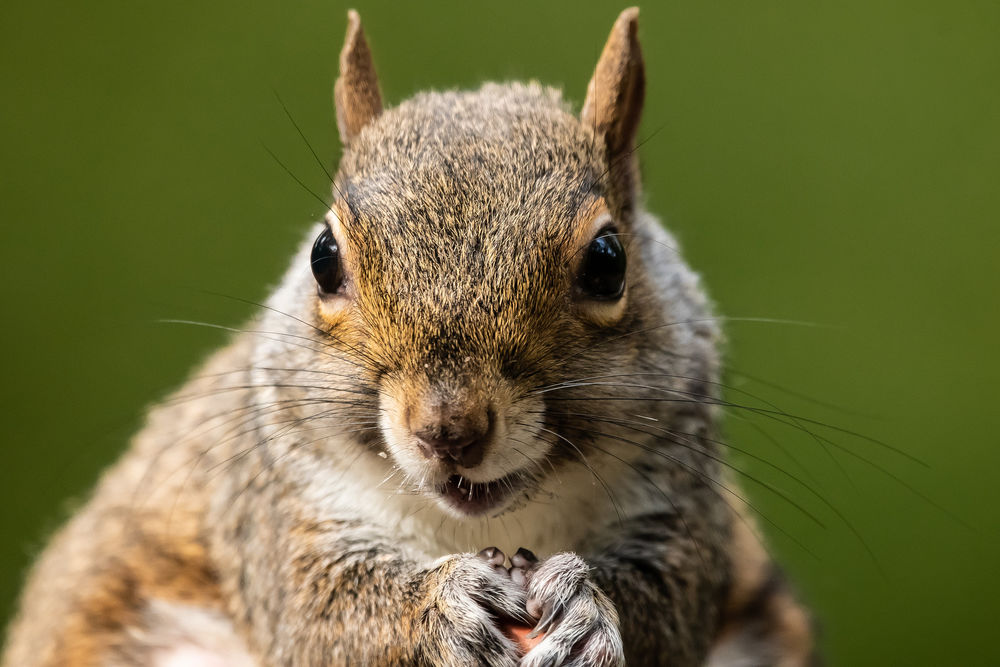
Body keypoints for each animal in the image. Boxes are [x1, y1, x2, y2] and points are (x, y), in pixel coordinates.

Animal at [3, 9, 816, 667]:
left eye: (609, 261)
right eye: (323, 257)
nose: (447, 429)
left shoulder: (680, 505)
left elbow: (672, 601)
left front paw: (590, 610)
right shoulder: (273, 502)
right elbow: (322, 609)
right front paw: (440, 608)